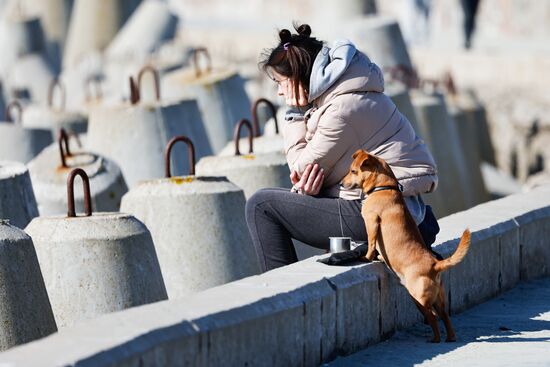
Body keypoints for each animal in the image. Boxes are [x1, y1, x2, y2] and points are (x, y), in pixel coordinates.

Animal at [342, 149, 472, 342]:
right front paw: (378, 257)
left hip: (418, 298)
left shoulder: (371, 222)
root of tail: (435, 265)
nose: (341, 184)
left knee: (432, 318)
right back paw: (449, 338)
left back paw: (435, 339)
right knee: (445, 316)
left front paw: (366, 257)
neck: (384, 187)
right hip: (436, 299)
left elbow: (371, 242)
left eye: (352, 171)